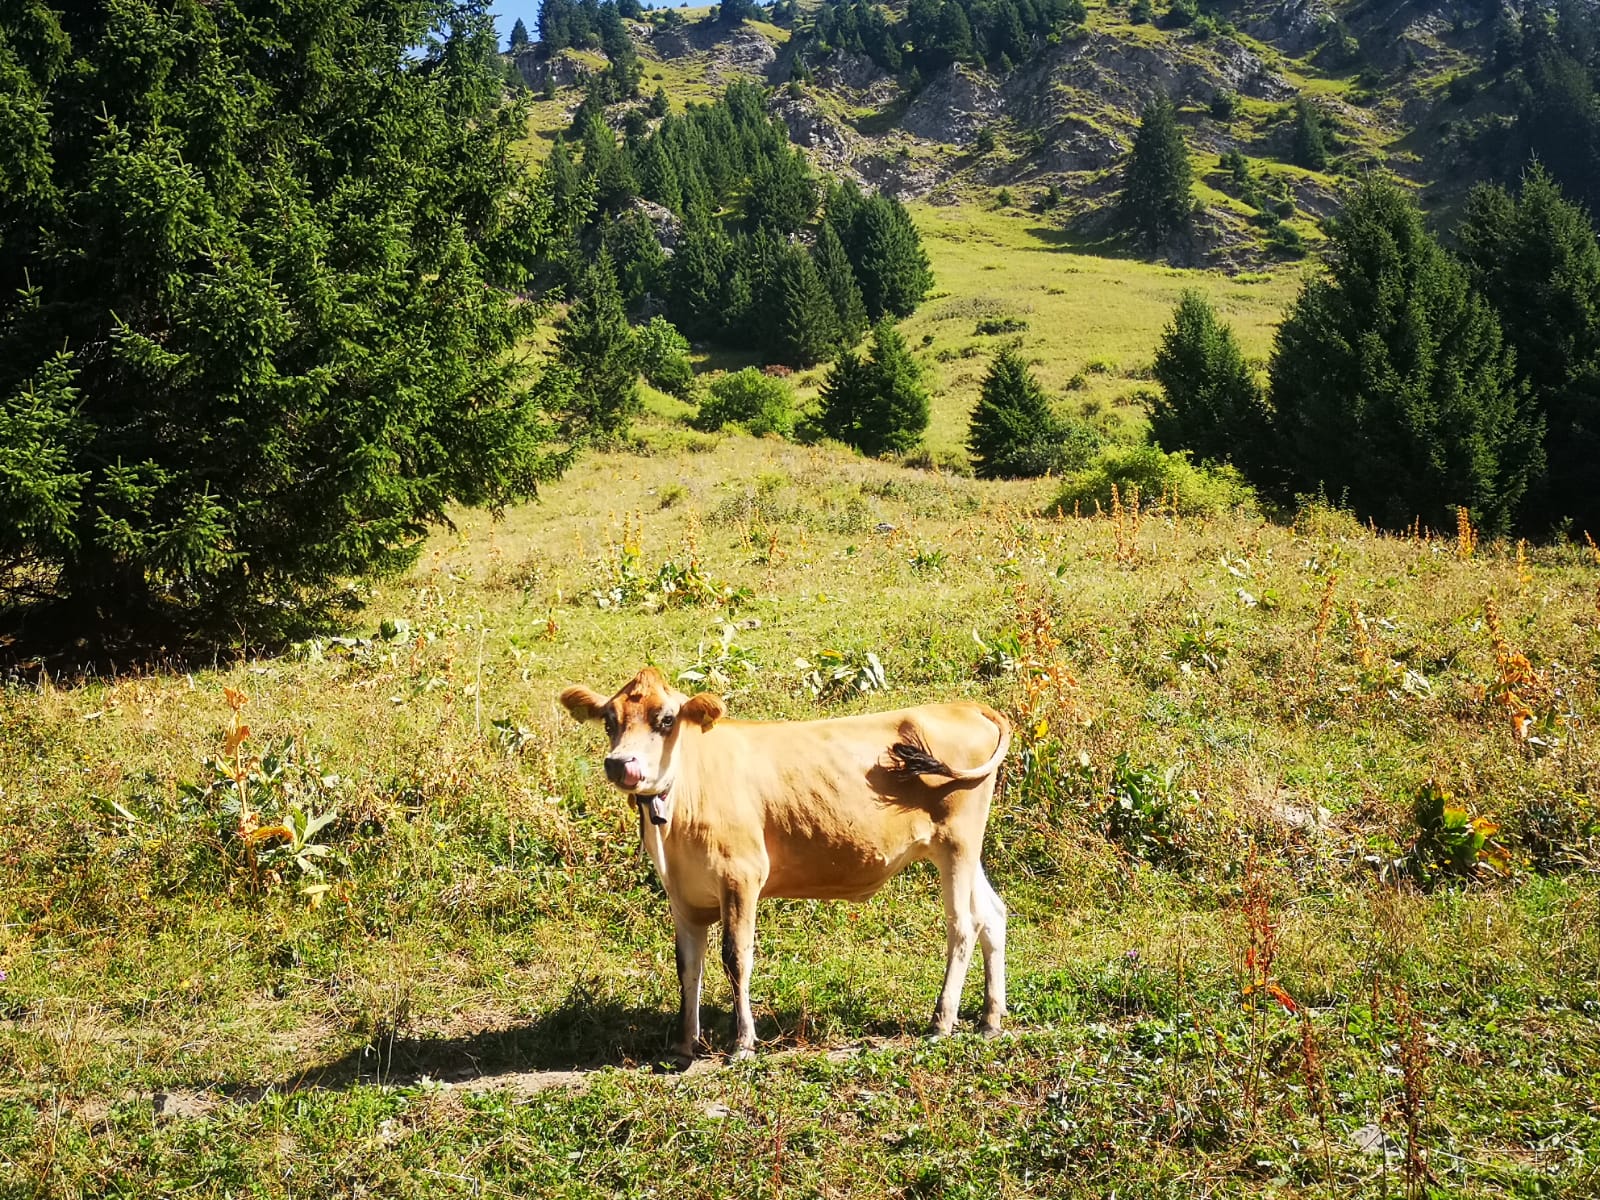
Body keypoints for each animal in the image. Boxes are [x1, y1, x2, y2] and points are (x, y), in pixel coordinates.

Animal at [558, 666, 1011, 1061]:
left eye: (666, 719)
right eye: (609, 721)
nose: (621, 763)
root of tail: (964, 706)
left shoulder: (741, 875)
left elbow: (736, 957)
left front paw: (743, 1044)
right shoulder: (682, 894)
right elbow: (687, 965)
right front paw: (684, 1045)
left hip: (957, 841)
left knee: (963, 924)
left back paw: (942, 1021)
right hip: (960, 848)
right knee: (992, 914)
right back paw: (990, 1018)